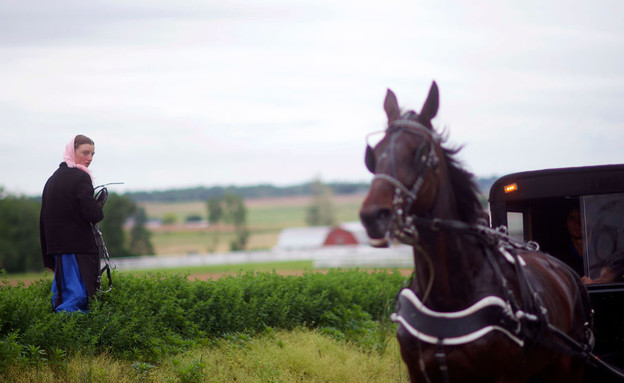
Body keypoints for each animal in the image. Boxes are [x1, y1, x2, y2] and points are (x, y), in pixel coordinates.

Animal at [358, 82, 592, 383]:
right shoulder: (419, 372)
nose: (373, 216)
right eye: (374, 155)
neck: (446, 294)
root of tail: (566, 271)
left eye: (420, 153)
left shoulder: (501, 375)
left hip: (567, 367)